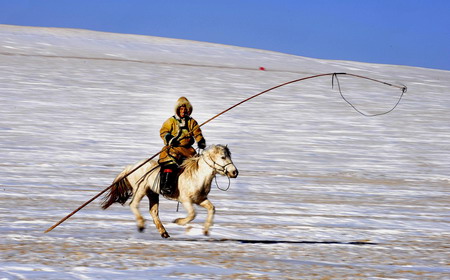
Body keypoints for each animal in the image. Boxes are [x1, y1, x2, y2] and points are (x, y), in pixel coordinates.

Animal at [100, 144, 237, 238]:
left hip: (152, 193)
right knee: (134, 204)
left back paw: (164, 232)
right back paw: (141, 225)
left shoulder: (200, 199)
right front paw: (178, 221)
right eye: (223, 157)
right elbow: (192, 214)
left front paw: (206, 230)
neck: (197, 175)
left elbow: (211, 209)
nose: (234, 172)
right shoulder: (185, 200)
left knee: (153, 211)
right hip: (140, 189)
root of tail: (131, 167)